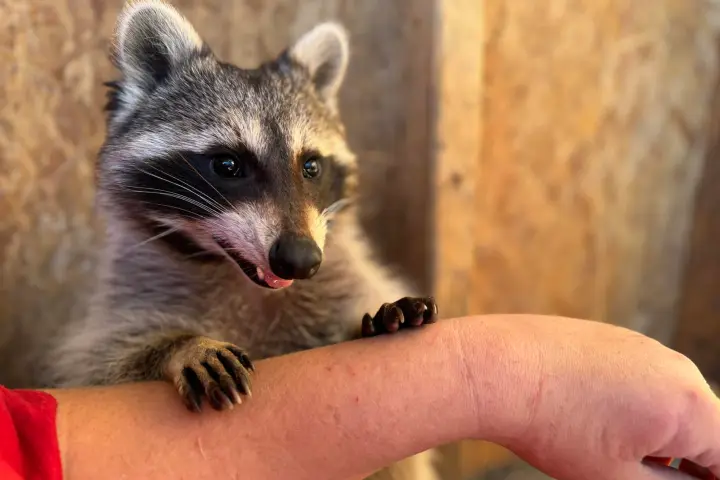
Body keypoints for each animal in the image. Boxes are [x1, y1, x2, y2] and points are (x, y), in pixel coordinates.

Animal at [40, 1, 440, 478]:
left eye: (311, 166)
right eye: (228, 165)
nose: (301, 259)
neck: (244, 278)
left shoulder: (340, 275)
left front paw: (371, 318)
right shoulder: (130, 296)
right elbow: (102, 363)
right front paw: (180, 346)